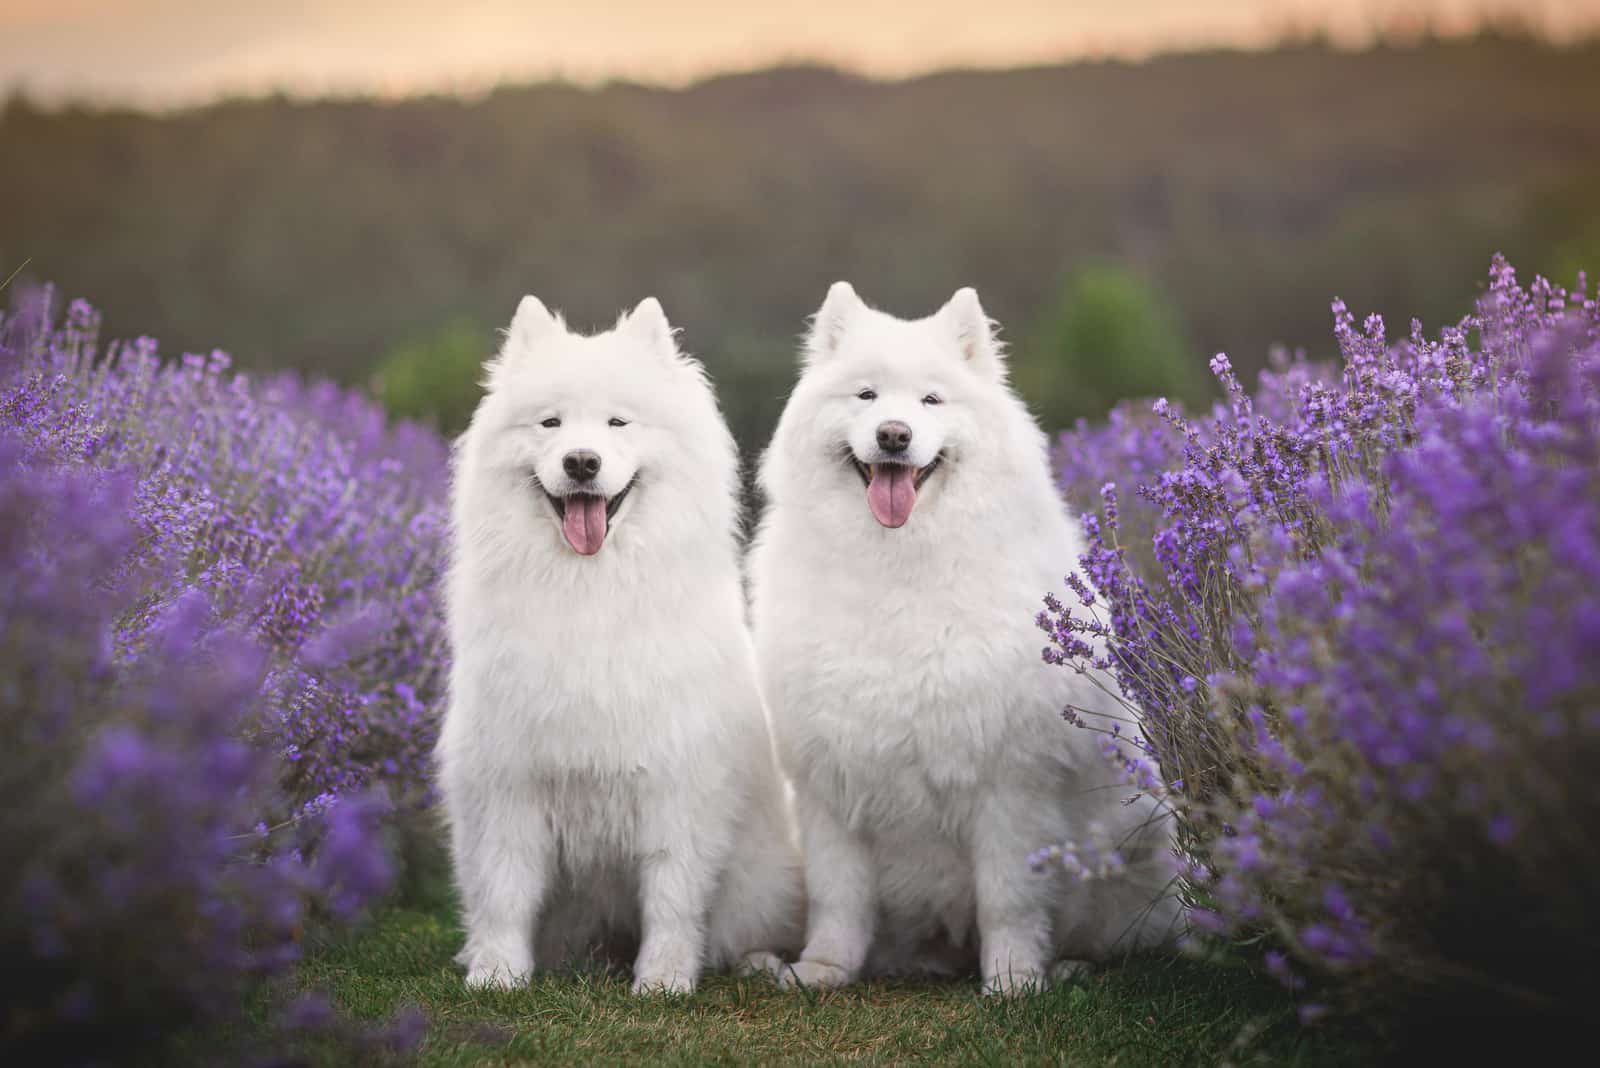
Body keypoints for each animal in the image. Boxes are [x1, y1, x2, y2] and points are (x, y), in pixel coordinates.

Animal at [435, 294, 800, 991]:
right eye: (550, 423)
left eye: (617, 423)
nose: (582, 461)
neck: (590, 589)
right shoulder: (510, 779)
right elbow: (505, 889)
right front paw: (497, 972)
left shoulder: (676, 783)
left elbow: (672, 893)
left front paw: (663, 981)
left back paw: (761, 963)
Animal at [745, 281, 1177, 991]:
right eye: (866, 396)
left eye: (930, 400)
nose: (894, 435)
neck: (898, 565)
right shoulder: (829, 783)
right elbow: (839, 898)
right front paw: (824, 969)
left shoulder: (1009, 783)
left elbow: (1010, 898)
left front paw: (1013, 979)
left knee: (1124, 938)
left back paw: (1072, 967)